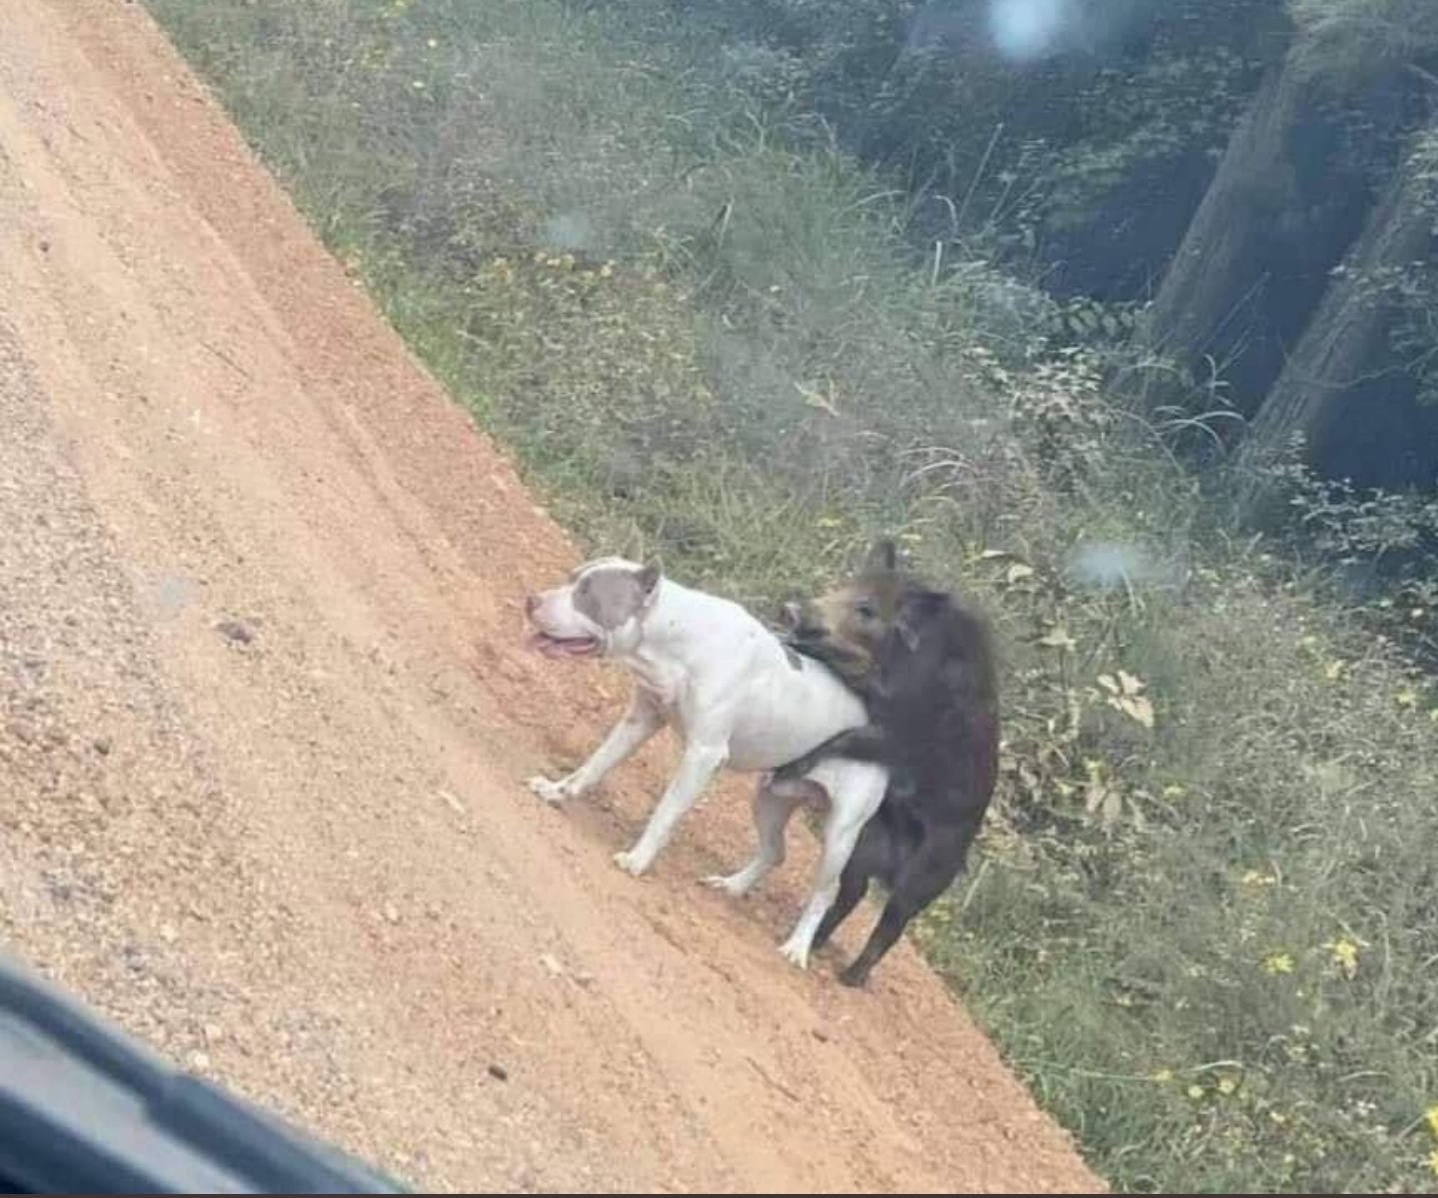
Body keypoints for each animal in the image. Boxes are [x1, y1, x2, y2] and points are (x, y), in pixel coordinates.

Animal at [529, 555, 885, 966]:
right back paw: (731, 886)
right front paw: (557, 791)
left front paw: (638, 859)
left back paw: (797, 947)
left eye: (587, 593)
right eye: (572, 579)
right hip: (771, 797)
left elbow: (666, 812)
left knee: (824, 893)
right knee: (775, 852)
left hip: (841, 832)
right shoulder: (641, 719)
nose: (531, 600)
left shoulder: (703, 753)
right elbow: (594, 765)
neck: (677, 638)